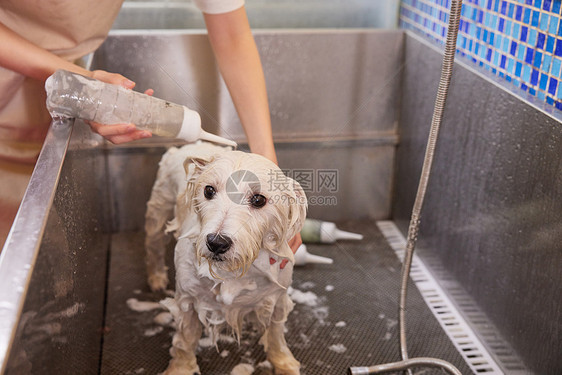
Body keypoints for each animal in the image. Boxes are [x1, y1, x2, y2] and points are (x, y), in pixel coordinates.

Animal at [142, 142, 304, 375]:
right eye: (209, 190)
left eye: (258, 199)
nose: (216, 243)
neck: (233, 272)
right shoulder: (187, 300)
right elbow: (184, 340)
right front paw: (180, 368)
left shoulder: (277, 298)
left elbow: (275, 335)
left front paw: (283, 362)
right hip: (159, 209)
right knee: (153, 245)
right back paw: (156, 277)